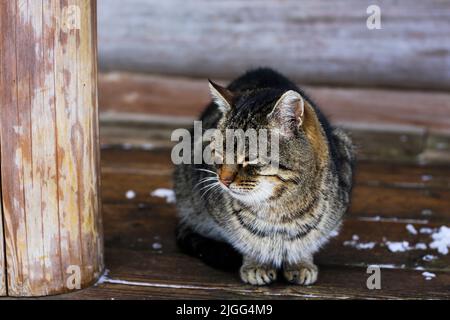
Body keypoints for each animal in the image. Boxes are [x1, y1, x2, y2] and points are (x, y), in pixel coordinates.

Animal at [174, 67, 354, 284]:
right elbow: (244, 240)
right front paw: (256, 264)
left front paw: (300, 263)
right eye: (218, 152)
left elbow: (308, 241)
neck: (279, 209)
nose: (223, 180)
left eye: (249, 158)